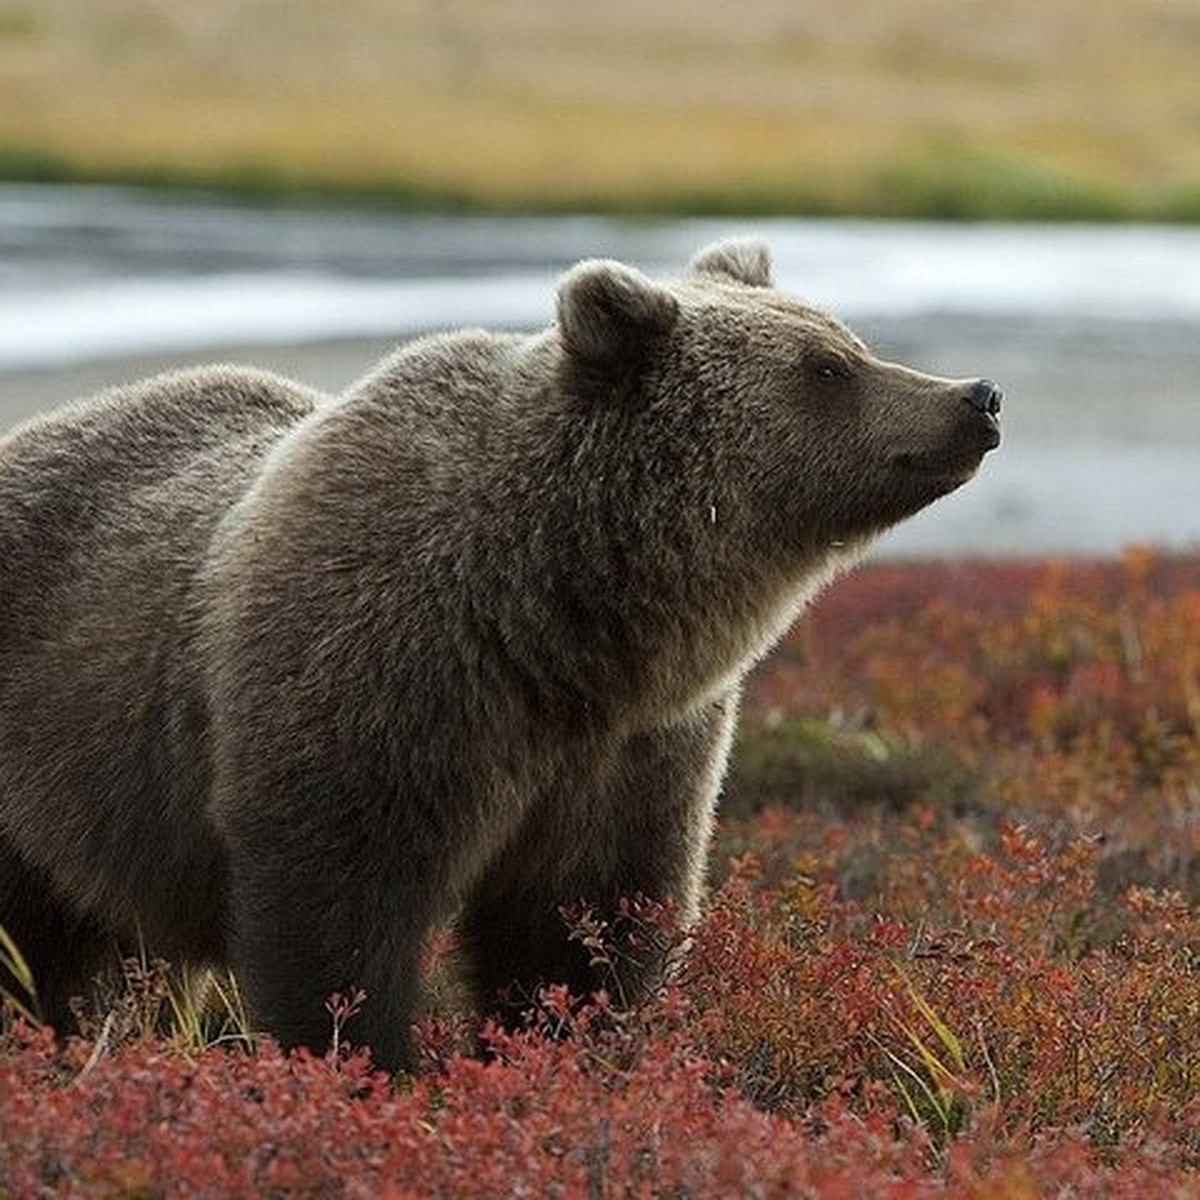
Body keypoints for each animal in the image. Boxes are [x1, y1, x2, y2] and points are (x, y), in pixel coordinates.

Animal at [0, 236, 998, 1070]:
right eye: (826, 367)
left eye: (846, 337)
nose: (977, 397)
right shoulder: (379, 679)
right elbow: (335, 914)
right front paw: (369, 1066)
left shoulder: (630, 748)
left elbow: (582, 922)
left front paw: (566, 1050)